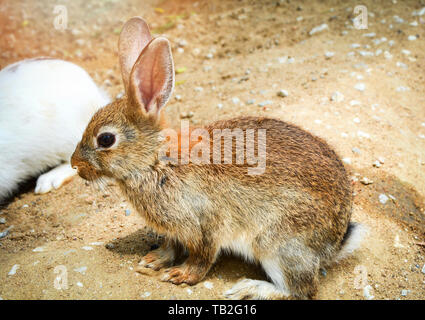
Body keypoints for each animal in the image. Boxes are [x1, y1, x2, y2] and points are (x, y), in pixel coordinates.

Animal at [71, 17, 366, 298]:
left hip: (277, 245)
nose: (76, 166)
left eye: (105, 139)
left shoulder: (203, 225)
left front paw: (181, 275)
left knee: (300, 289)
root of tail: (334, 243)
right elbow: (170, 246)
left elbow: (202, 256)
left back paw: (248, 288)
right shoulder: (176, 230)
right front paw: (153, 260)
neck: (156, 161)